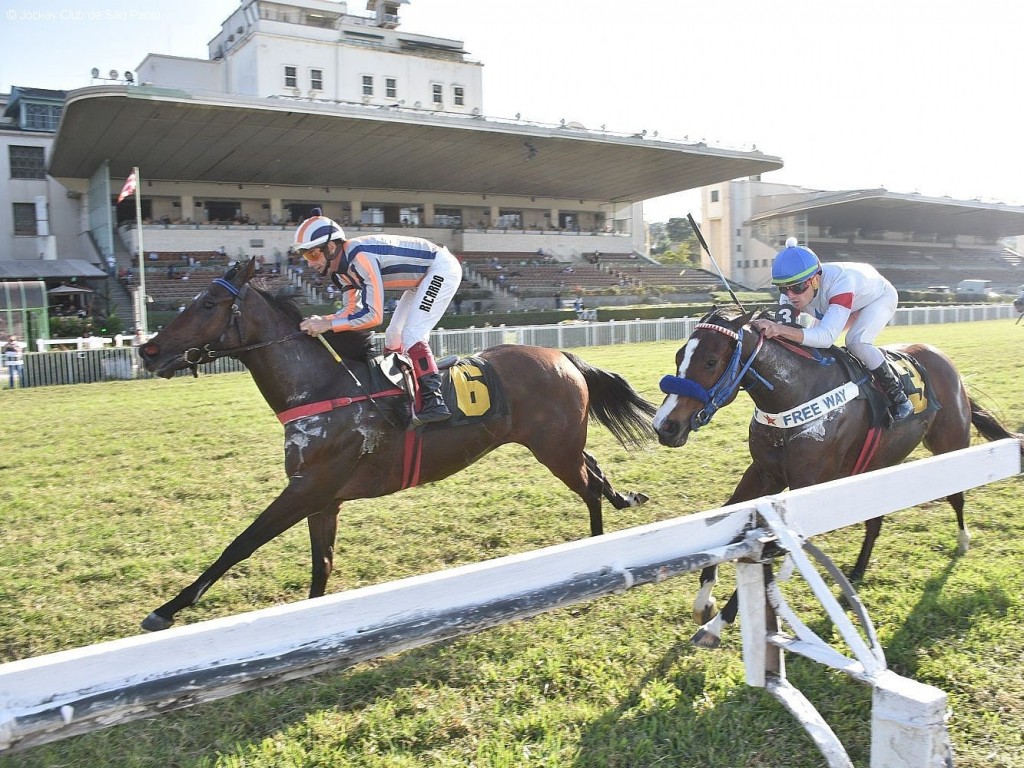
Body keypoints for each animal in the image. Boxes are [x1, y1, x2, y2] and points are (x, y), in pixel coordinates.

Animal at [136, 259, 655, 630]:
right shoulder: (322, 499)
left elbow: (240, 544)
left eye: (207, 303)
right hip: (560, 443)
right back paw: (625, 499)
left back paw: (595, 544)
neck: (322, 389)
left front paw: (166, 609)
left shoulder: (307, 488)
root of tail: (562, 355)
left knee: (588, 488)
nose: (148, 350)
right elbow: (321, 565)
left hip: (554, 451)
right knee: (596, 470)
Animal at [651, 307, 1019, 651]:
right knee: (875, 521)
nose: (664, 426)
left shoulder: (806, 484)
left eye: (711, 361)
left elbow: (767, 548)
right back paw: (857, 571)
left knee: (956, 495)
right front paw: (704, 602)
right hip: (877, 464)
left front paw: (714, 626)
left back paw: (963, 540)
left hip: (950, 444)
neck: (793, 398)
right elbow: (725, 522)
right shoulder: (764, 473)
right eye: (679, 356)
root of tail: (942, 358)